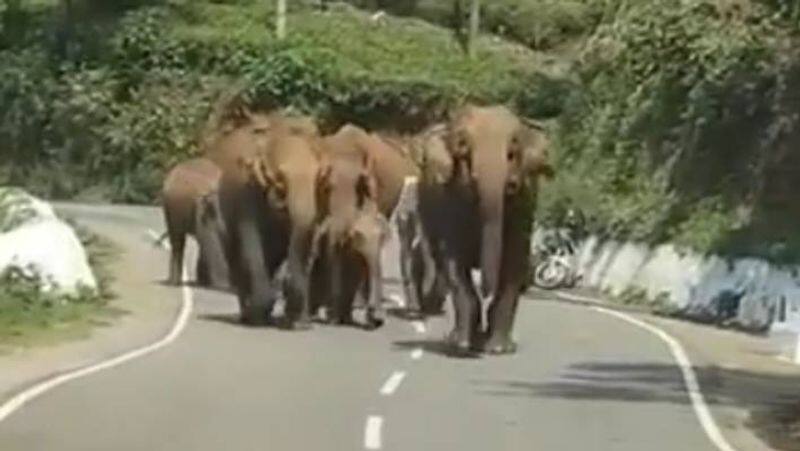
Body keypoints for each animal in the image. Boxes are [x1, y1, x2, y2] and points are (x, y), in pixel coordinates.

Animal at [416, 104, 552, 354]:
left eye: (514, 147)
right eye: (462, 145)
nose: (511, 183)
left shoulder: (525, 204)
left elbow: (514, 263)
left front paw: (499, 349)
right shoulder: (448, 202)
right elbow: (454, 262)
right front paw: (462, 344)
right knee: (439, 260)